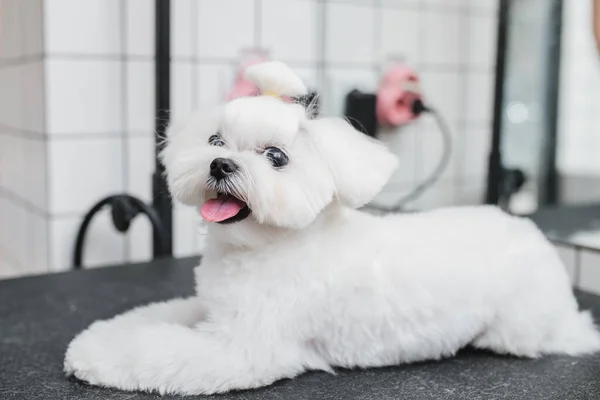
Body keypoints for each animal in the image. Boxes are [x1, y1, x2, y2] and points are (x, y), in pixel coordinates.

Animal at [65, 61, 600, 396]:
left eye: (276, 157)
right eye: (215, 140)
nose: (220, 164)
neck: (265, 248)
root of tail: (531, 234)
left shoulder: (240, 346)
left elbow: (151, 349)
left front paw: (92, 354)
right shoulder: (211, 307)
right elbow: (151, 317)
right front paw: (100, 334)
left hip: (519, 327)